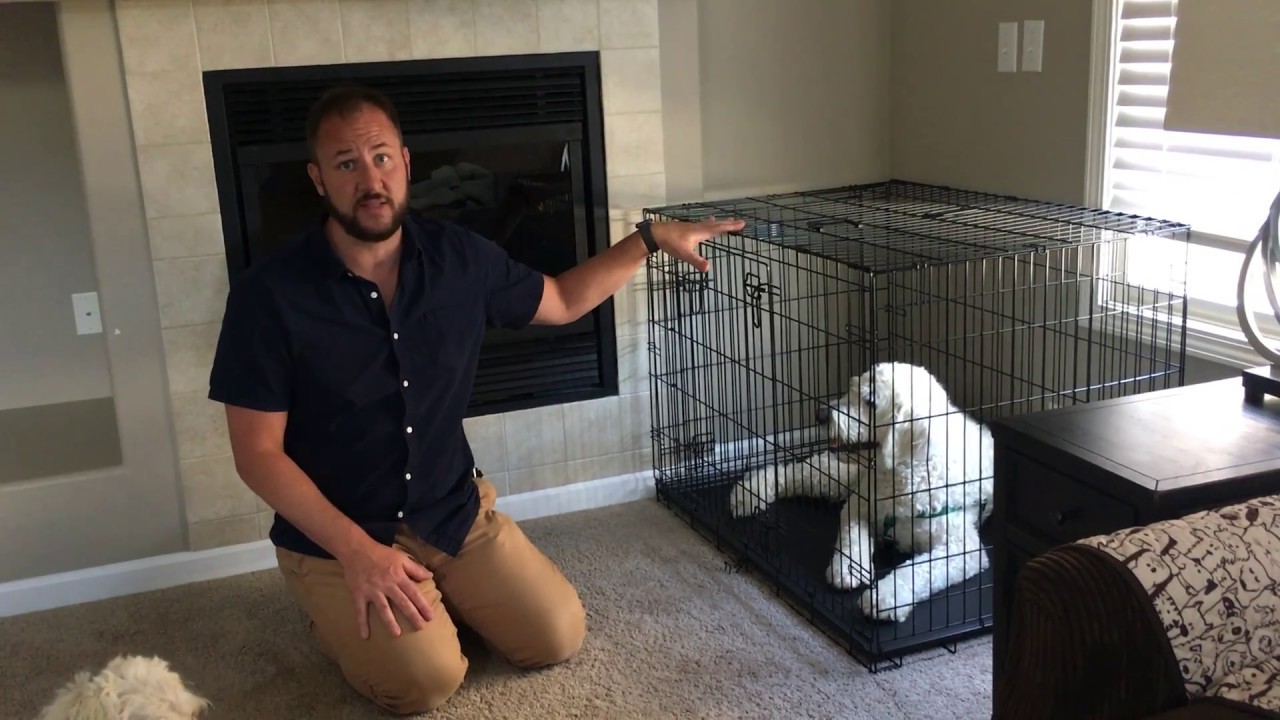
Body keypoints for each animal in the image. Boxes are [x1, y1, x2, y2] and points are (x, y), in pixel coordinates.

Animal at [728, 361, 994, 623]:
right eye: (852, 388)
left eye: (871, 402)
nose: (820, 414)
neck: (907, 469)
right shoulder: (859, 504)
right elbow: (852, 538)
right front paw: (847, 569)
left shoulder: (962, 548)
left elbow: (920, 570)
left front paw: (885, 597)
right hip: (846, 473)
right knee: (800, 471)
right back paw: (748, 493)